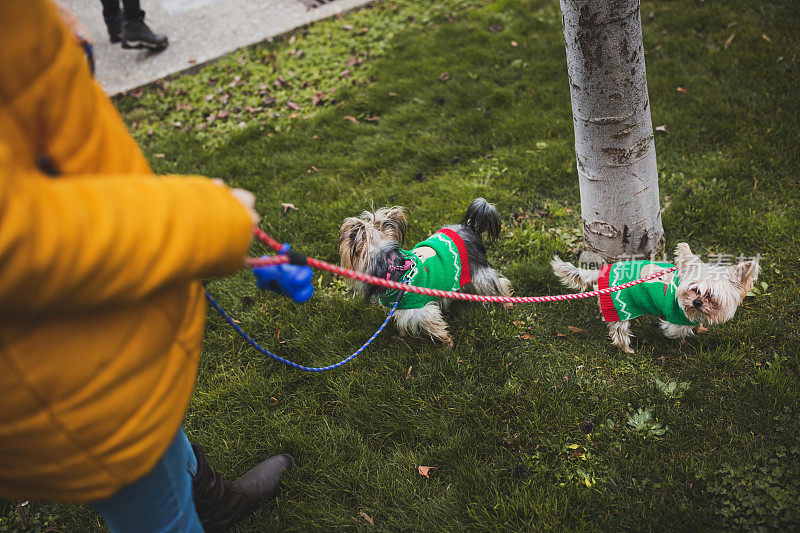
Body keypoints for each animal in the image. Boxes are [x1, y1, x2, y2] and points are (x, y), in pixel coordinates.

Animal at [338, 196, 512, 344]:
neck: (393, 269)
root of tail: (470, 227)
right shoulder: (401, 308)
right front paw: (402, 334)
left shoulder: (419, 310)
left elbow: (434, 326)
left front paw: (447, 343)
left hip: (478, 272)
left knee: (497, 283)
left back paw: (507, 304)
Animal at [552, 242, 760, 352]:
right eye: (694, 290)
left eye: (710, 296)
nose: (696, 302)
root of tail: (601, 274)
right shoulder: (675, 320)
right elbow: (677, 332)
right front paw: (684, 339)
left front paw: (700, 327)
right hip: (619, 310)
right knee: (619, 332)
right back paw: (626, 349)